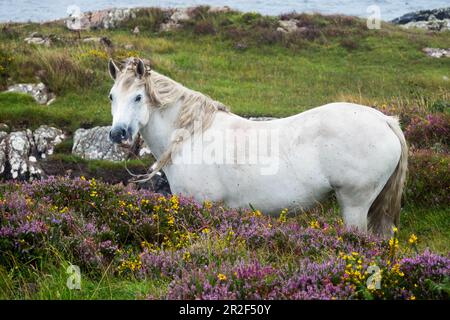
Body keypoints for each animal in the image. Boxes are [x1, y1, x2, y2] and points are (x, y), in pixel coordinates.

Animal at [108, 58, 408, 238]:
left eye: (138, 97)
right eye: (112, 96)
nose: (117, 133)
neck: (191, 136)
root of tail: (384, 120)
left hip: (354, 204)